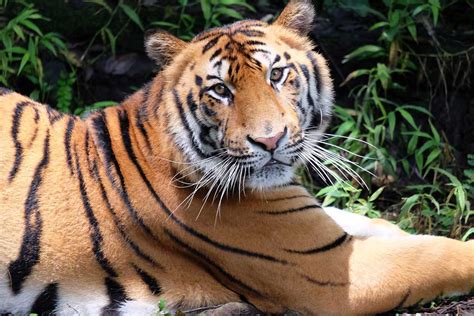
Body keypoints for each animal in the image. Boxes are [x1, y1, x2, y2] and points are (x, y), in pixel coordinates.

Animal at [0, 0, 474, 314]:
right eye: (220, 91)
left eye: (277, 75)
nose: (270, 140)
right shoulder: (327, 270)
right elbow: (438, 255)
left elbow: (375, 223)